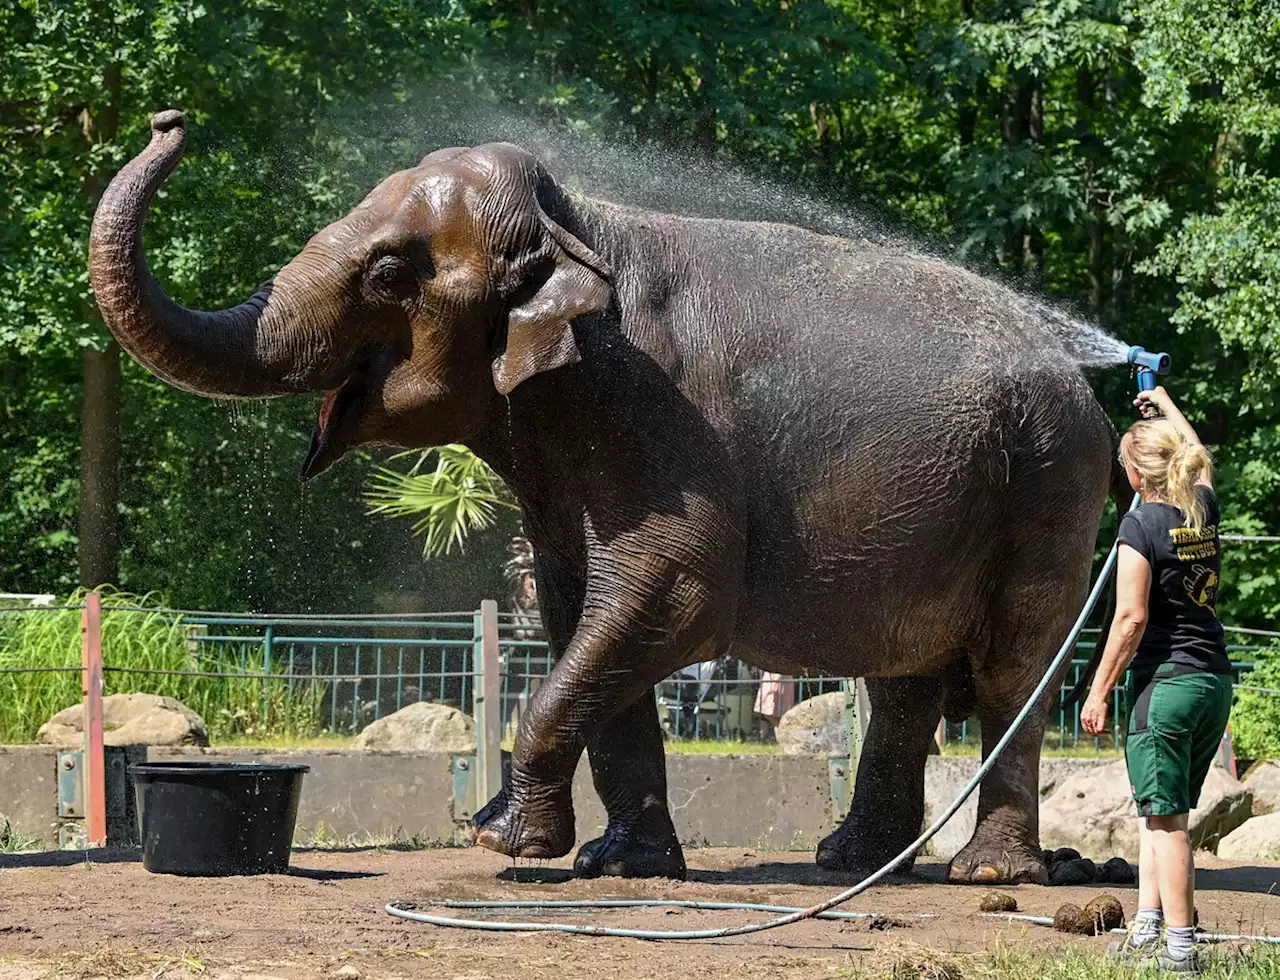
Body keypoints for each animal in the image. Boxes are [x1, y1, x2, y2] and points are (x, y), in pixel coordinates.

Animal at [92, 111, 1131, 885]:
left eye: (389, 275)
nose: (168, 120)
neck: (581, 226)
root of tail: (1083, 382)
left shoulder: (654, 414)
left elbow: (671, 596)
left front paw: (502, 840)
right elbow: (579, 610)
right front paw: (616, 862)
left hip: (1050, 483)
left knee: (1010, 668)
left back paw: (986, 874)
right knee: (904, 678)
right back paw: (849, 861)